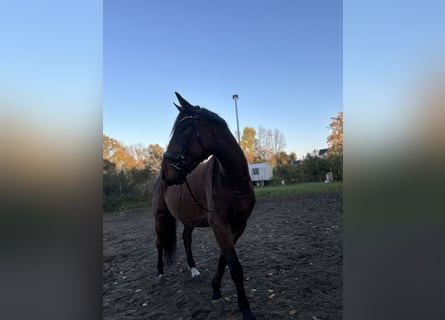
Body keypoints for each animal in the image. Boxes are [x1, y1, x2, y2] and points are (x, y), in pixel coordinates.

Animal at [153, 92, 255, 320]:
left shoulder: (238, 225)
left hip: (188, 219)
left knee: (186, 239)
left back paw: (194, 271)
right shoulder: (219, 225)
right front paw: (245, 308)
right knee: (159, 242)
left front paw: (215, 290)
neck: (232, 181)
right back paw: (160, 274)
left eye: (181, 130)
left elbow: (224, 260)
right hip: (160, 217)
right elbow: (235, 267)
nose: (165, 172)